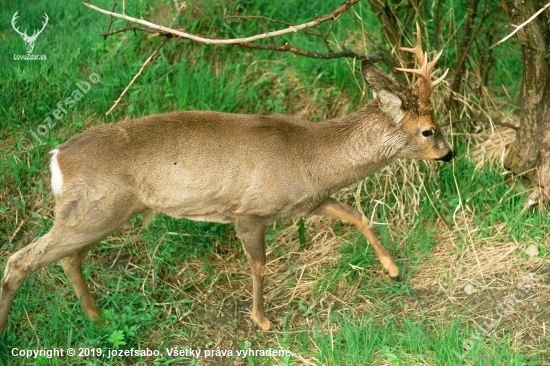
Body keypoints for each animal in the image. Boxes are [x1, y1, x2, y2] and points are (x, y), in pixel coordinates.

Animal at [2, 25, 454, 332]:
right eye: (428, 130)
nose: (449, 154)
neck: (311, 155)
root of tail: (57, 157)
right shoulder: (250, 211)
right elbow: (260, 265)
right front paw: (262, 320)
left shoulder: (307, 201)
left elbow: (355, 214)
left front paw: (392, 270)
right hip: (99, 209)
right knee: (21, 259)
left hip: (94, 213)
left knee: (67, 258)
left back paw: (98, 318)